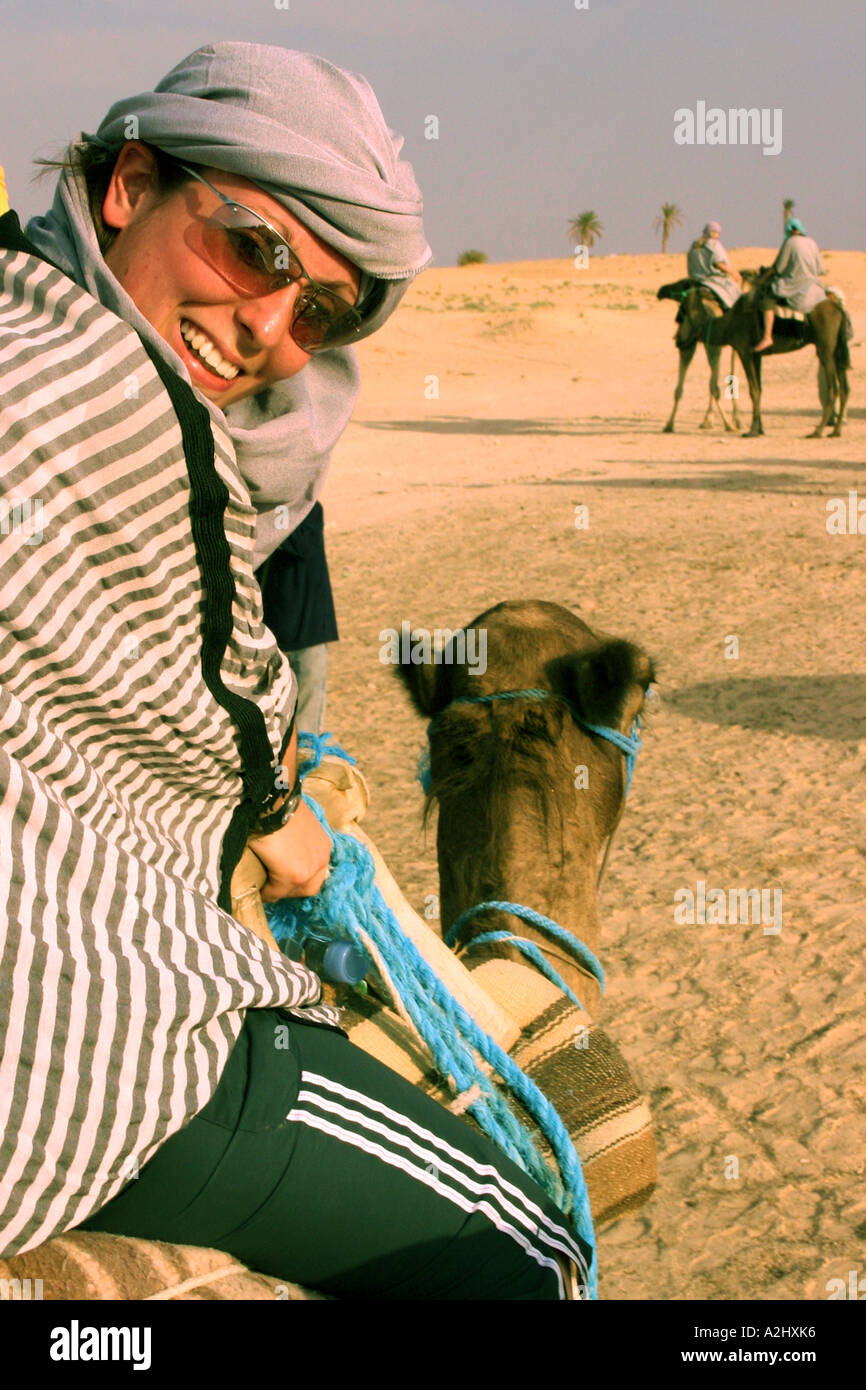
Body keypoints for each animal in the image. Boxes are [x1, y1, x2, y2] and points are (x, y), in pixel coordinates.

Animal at [661, 279, 739, 430]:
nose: (661, 290)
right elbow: (729, 379)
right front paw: (734, 421)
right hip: (712, 347)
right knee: (714, 386)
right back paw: (727, 424)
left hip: (689, 346)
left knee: (681, 388)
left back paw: (669, 424)